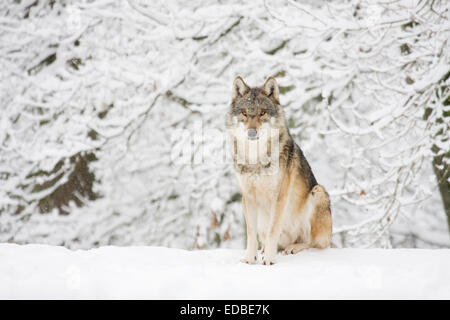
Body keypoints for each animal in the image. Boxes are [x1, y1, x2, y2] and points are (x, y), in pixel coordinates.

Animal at [227, 75, 332, 264]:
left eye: (262, 113)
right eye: (244, 113)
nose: (252, 133)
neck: (256, 159)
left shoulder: (279, 196)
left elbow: (272, 230)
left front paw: (269, 260)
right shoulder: (248, 196)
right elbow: (251, 233)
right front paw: (250, 259)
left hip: (318, 192)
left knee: (314, 243)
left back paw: (293, 247)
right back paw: (264, 250)